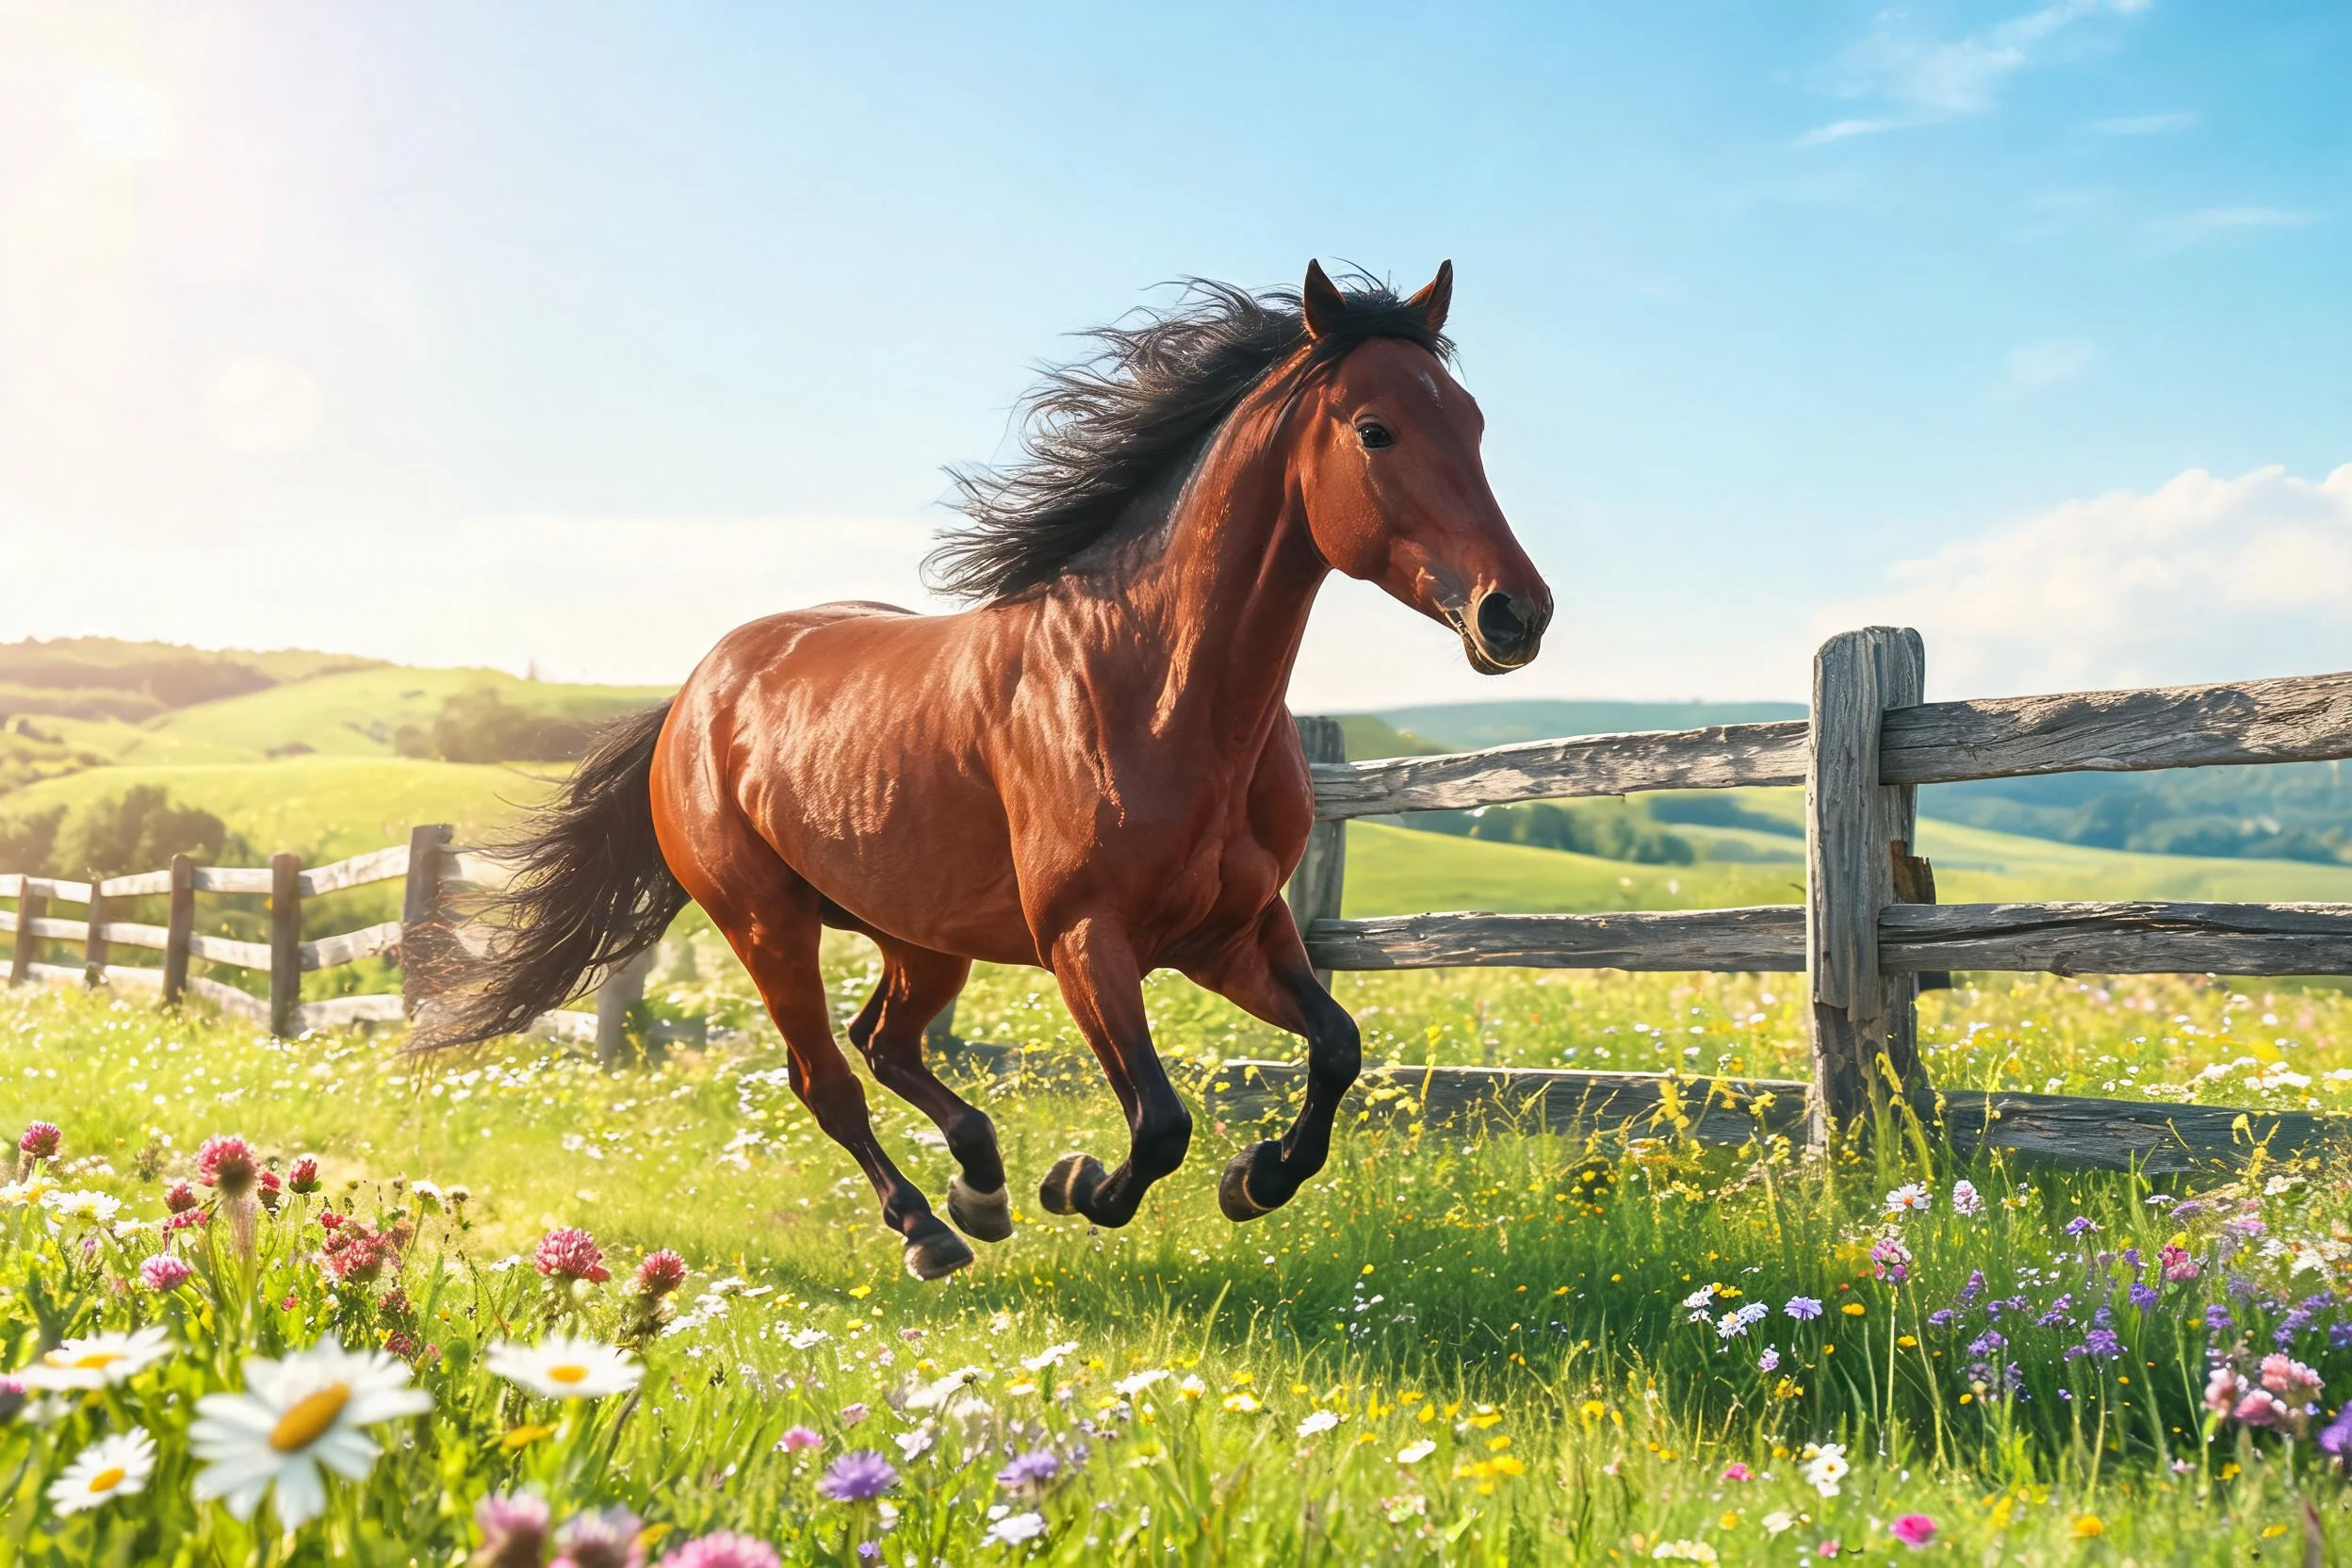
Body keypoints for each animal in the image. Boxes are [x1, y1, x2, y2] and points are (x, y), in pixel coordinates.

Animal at [419, 261, 1551, 1280]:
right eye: (1376, 430)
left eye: (1476, 423)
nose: (1516, 613)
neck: (1156, 692)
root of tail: (694, 693)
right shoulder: (1085, 940)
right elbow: (1158, 1123)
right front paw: (1078, 1183)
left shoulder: (1232, 931)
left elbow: (1337, 1045)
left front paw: (1255, 1178)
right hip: (765, 923)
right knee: (824, 1077)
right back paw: (931, 1226)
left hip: (919, 934)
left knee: (884, 1042)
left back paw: (980, 1183)